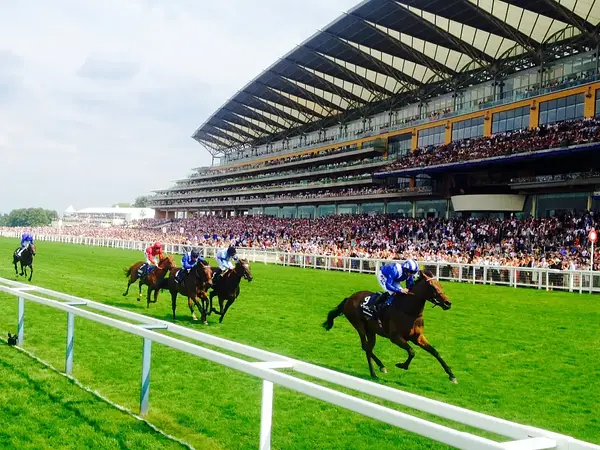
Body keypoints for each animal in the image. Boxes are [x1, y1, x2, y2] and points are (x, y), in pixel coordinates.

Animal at [322, 270, 457, 383]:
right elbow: (412, 351)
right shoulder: (395, 337)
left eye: (441, 285)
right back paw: (376, 371)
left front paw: (452, 376)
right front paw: (402, 365)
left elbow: (435, 352)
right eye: (432, 286)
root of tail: (349, 298)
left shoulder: (418, 337)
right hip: (359, 326)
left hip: (371, 331)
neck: (408, 311)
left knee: (368, 348)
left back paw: (380, 368)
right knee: (366, 347)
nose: (448, 303)